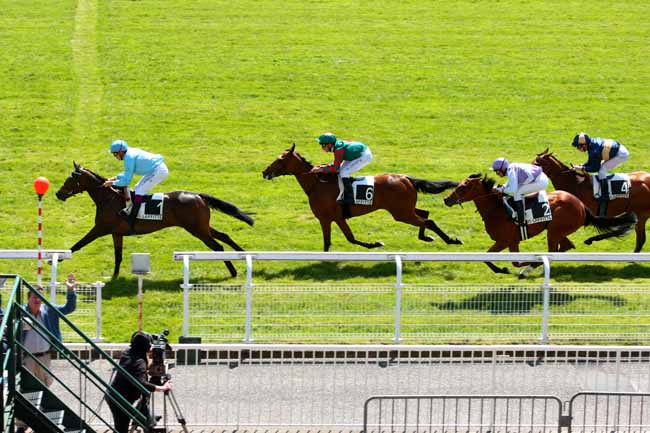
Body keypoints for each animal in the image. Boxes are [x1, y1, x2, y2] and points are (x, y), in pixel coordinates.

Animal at [55, 162, 253, 276]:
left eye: (70, 179)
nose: (58, 194)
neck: (108, 198)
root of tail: (198, 196)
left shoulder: (100, 229)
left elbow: (78, 244)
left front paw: (56, 259)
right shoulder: (116, 233)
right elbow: (118, 256)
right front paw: (115, 276)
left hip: (197, 229)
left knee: (218, 246)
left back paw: (233, 271)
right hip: (202, 226)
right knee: (224, 236)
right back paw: (244, 257)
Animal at [260, 143, 460, 248]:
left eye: (279, 160)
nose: (264, 172)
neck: (317, 184)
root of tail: (406, 178)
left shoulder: (331, 218)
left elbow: (346, 239)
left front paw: (375, 243)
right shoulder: (331, 219)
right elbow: (335, 241)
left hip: (401, 213)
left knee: (428, 221)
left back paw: (451, 240)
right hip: (405, 209)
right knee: (425, 214)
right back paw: (425, 237)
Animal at [440, 172, 632, 274]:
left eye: (462, 187)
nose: (446, 199)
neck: (496, 208)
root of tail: (581, 205)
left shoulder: (504, 240)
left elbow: (492, 258)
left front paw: (505, 269)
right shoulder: (513, 241)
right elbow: (510, 261)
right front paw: (508, 268)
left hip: (554, 230)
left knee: (554, 250)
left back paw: (529, 269)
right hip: (558, 231)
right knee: (566, 246)